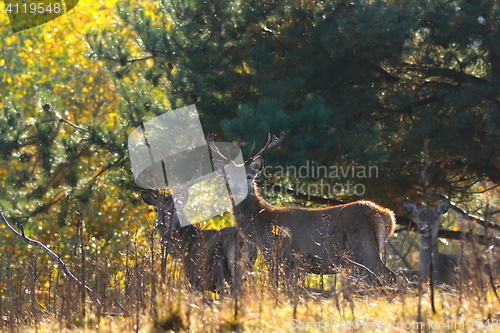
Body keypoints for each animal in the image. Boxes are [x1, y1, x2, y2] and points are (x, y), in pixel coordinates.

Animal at [205, 132, 396, 282]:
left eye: (249, 176)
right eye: (228, 178)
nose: (237, 190)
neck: (261, 225)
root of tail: (386, 215)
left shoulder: (282, 255)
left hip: (363, 247)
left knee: (391, 276)